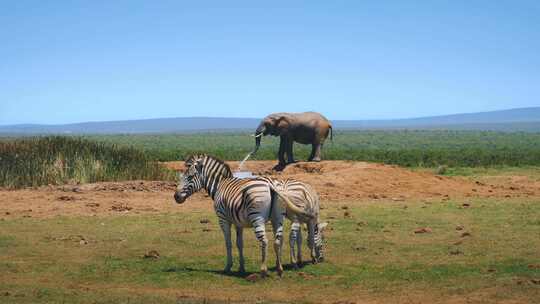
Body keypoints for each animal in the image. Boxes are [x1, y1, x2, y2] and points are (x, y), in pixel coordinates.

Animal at [173, 154, 308, 276]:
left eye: (190, 177)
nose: (176, 197)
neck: (220, 185)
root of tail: (271, 185)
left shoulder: (223, 219)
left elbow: (228, 242)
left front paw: (228, 267)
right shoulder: (238, 222)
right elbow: (239, 243)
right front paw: (241, 268)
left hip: (257, 217)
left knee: (264, 240)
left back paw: (263, 270)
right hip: (278, 217)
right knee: (278, 240)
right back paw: (279, 269)